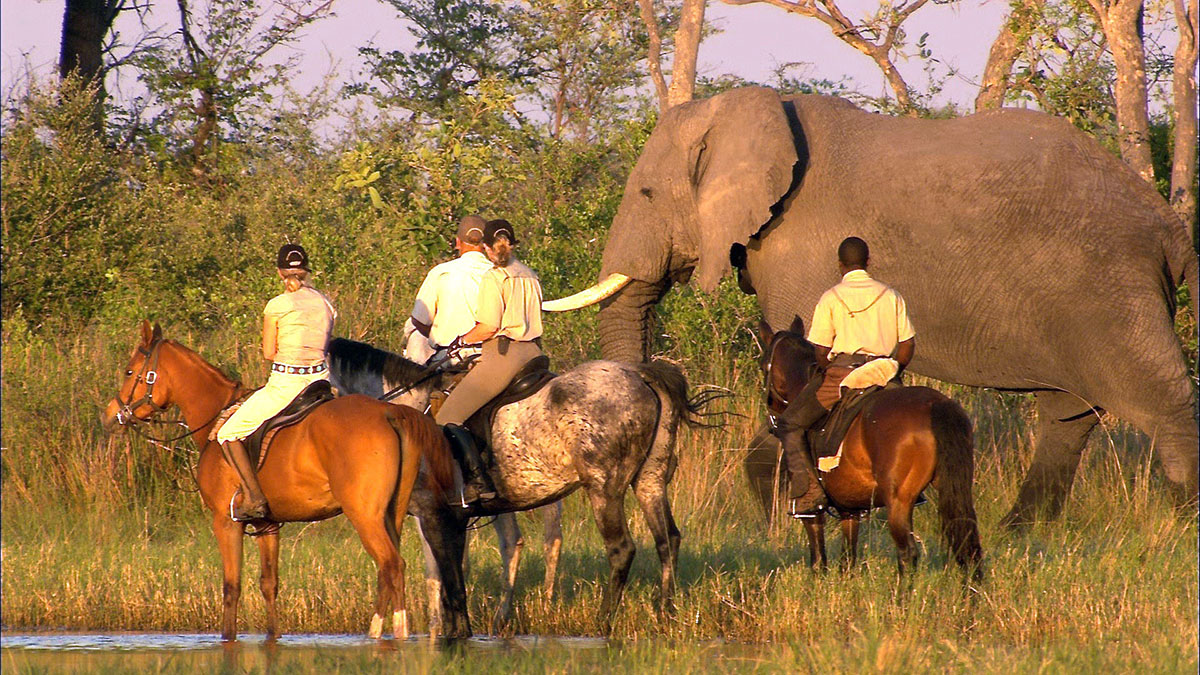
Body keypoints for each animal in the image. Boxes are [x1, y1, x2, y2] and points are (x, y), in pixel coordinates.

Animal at [98, 319, 451, 634]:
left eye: (129, 371)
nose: (110, 414)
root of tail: (390, 413)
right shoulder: (267, 524)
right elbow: (269, 585)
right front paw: (273, 637)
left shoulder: (225, 522)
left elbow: (231, 587)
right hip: (391, 514)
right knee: (388, 571)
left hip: (365, 515)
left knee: (391, 566)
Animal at [326, 338, 720, 634]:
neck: (407, 409)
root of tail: (642, 375)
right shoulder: (455, 517)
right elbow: (455, 576)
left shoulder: (433, 514)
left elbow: (444, 576)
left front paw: (445, 632)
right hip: (650, 481)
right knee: (667, 540)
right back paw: (665, 615)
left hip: (604, 488)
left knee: (622, 549)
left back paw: (604, 623)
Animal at [547, 85, 1200, 526]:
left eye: (645, 193)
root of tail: (1168, 225)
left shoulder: (800, 253)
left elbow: (804, 373)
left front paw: (778, 523)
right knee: (1067, 413)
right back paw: (1018, 532)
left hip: (1110, 281)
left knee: (1158, 399)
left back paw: (1180, 527)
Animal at [758, 317, 984, 578]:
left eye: (763, 366)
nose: (772, 416)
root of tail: (936, 406)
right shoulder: (849, 508)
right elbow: (847, 560)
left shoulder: (812, 512)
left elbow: (818, 560)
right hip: (953, 487)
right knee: (968, 543)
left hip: (898, 501)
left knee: (908, 553)